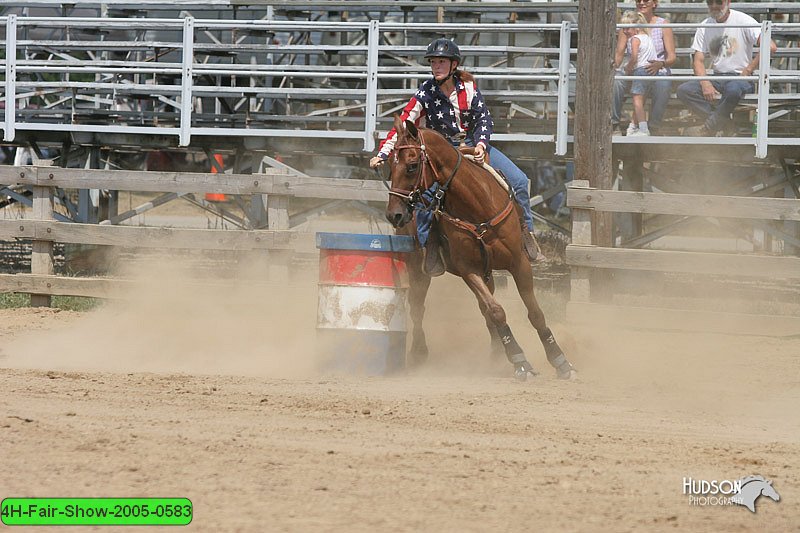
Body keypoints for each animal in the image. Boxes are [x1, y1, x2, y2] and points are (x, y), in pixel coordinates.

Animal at [384, 118, 580, 380]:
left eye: (412, 166)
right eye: (390, 166)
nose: (394, 214)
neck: (478, 207)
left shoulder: (519, 263)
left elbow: (534, 312)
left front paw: (560, 361)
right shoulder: (469, 270)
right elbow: (496, 311)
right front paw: (520, 361)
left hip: (488, 273)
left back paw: (496, 354)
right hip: (417, 268)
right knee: (418, 307)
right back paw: (419, 352)